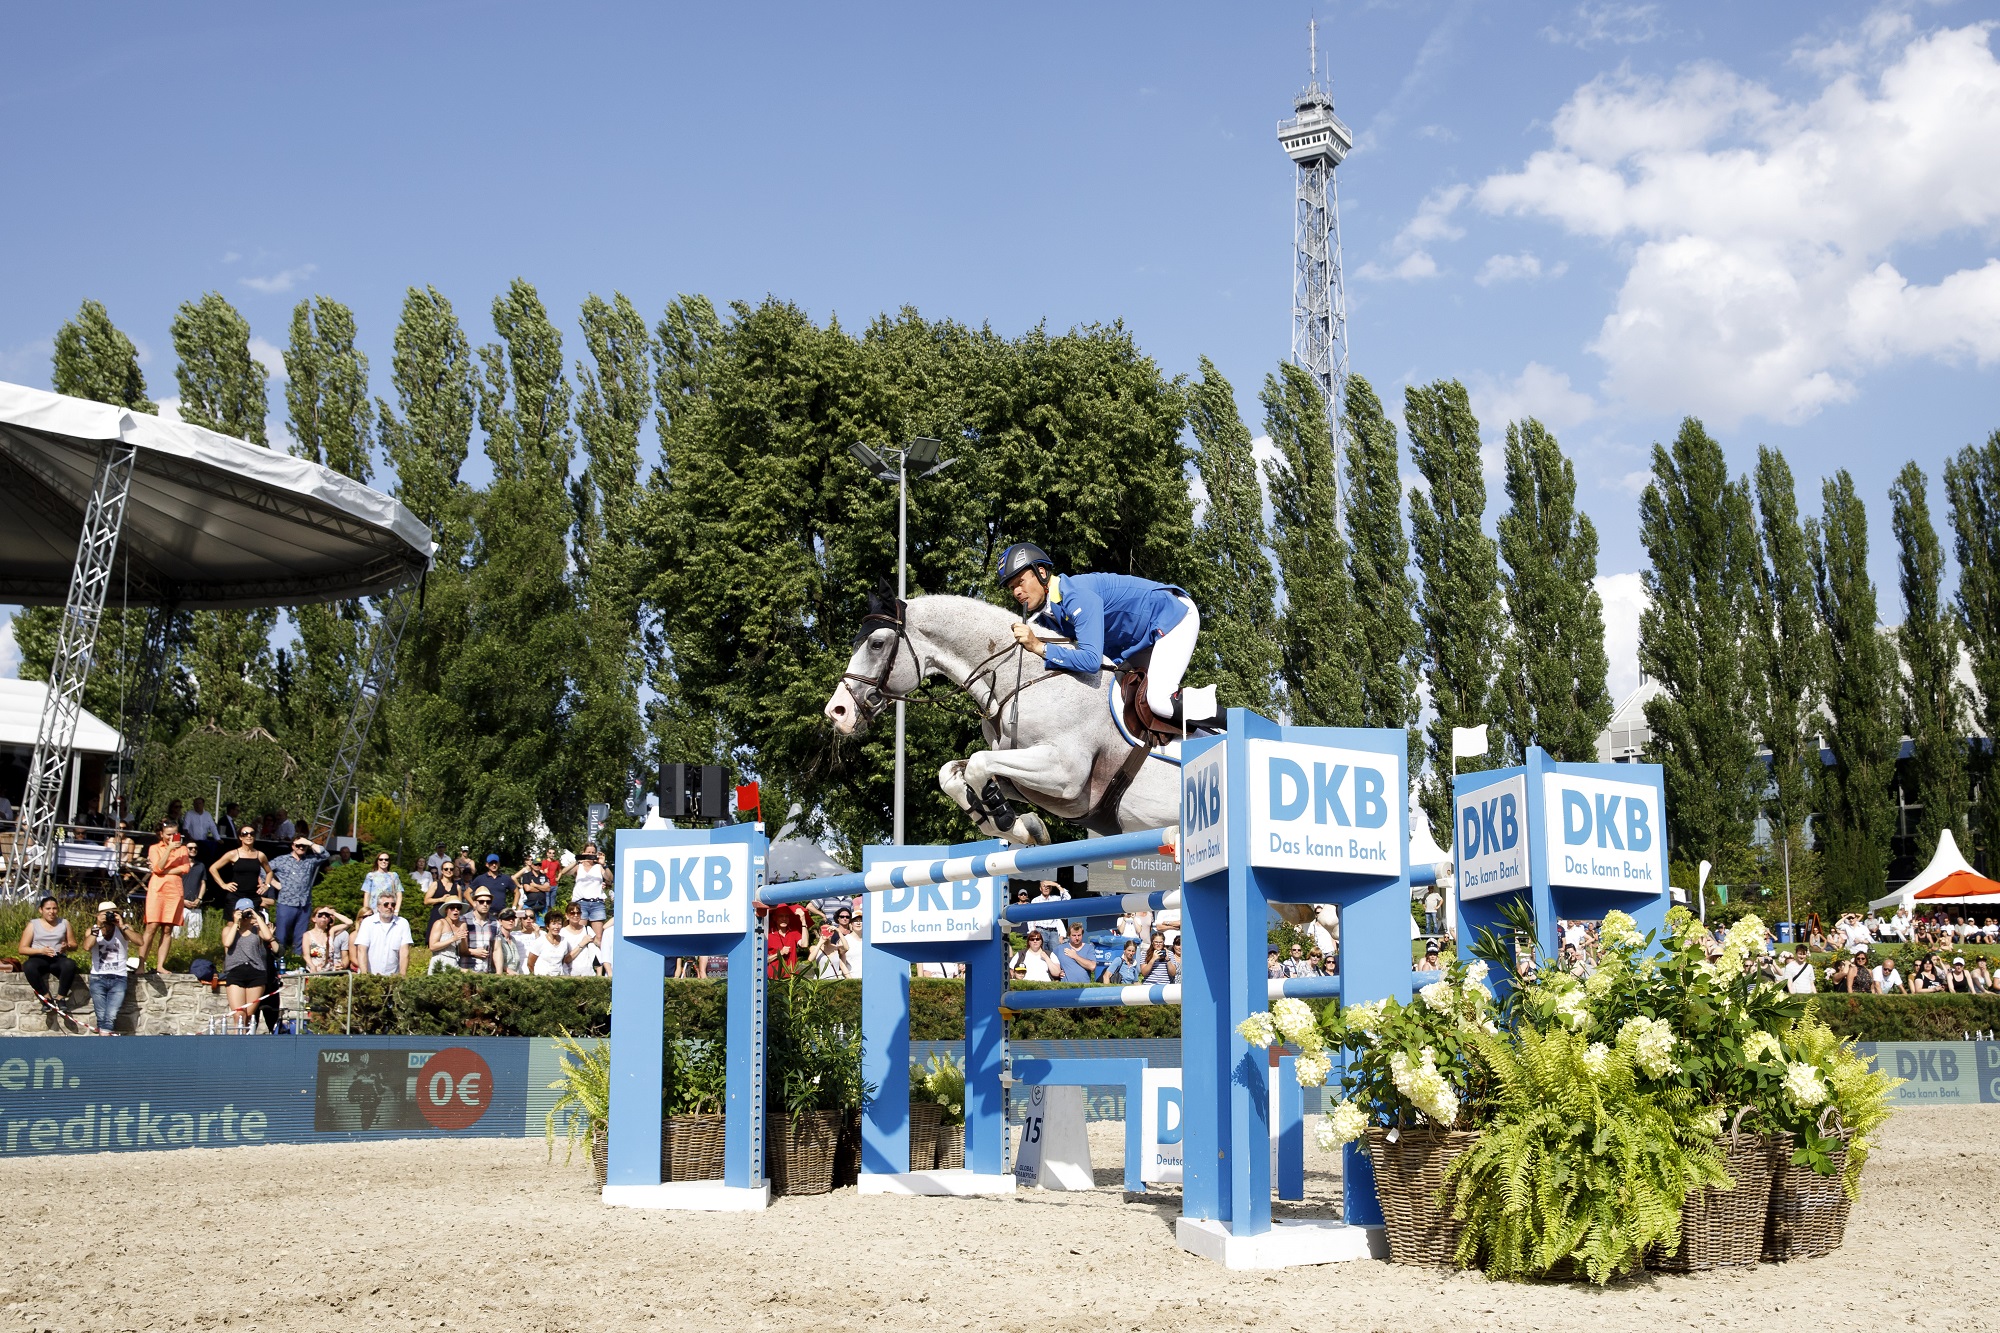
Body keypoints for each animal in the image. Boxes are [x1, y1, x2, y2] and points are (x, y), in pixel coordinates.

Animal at [820, 592, 1176, 840]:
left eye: (877, 644)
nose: (837, 711)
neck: (1026, 681)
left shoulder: (1066, 773)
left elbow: (978, 765)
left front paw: (1007, 820)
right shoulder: (1019, 774)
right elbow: (952, 773)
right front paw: (1019, 826)